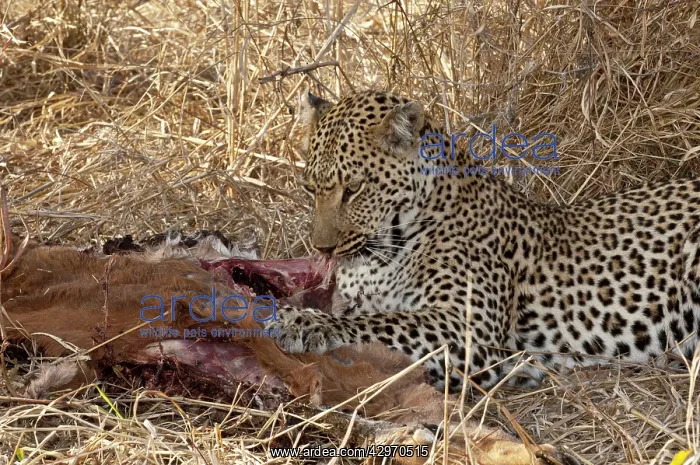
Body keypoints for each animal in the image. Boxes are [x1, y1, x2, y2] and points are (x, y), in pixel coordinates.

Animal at [266, 89, 700, 393]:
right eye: (310, 189)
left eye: (353, 189)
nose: (322, 249)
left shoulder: (466, 325)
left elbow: (381, 321)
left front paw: (302, 320)